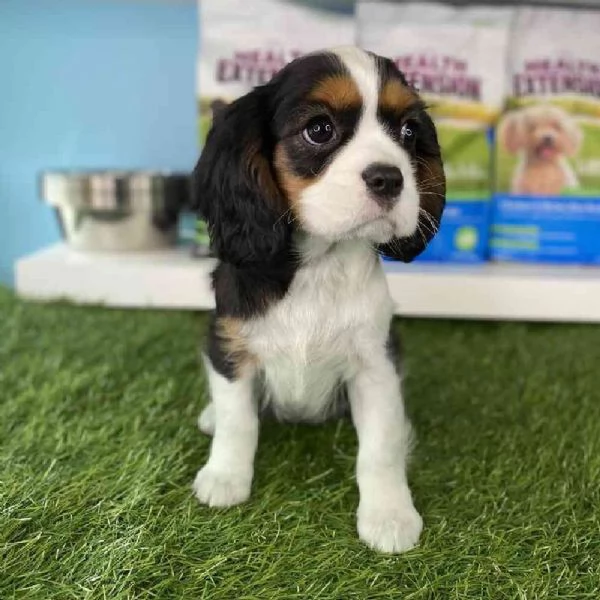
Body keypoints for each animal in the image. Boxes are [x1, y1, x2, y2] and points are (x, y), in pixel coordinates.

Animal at [191, 47, 446, 552]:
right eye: (320, 129)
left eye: (408, 132)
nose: (390, 178)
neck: (320, 264)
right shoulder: (229, 344)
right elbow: (237, 420)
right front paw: (225, 477)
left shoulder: (376, 364)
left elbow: (380, 446)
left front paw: (389, 515)